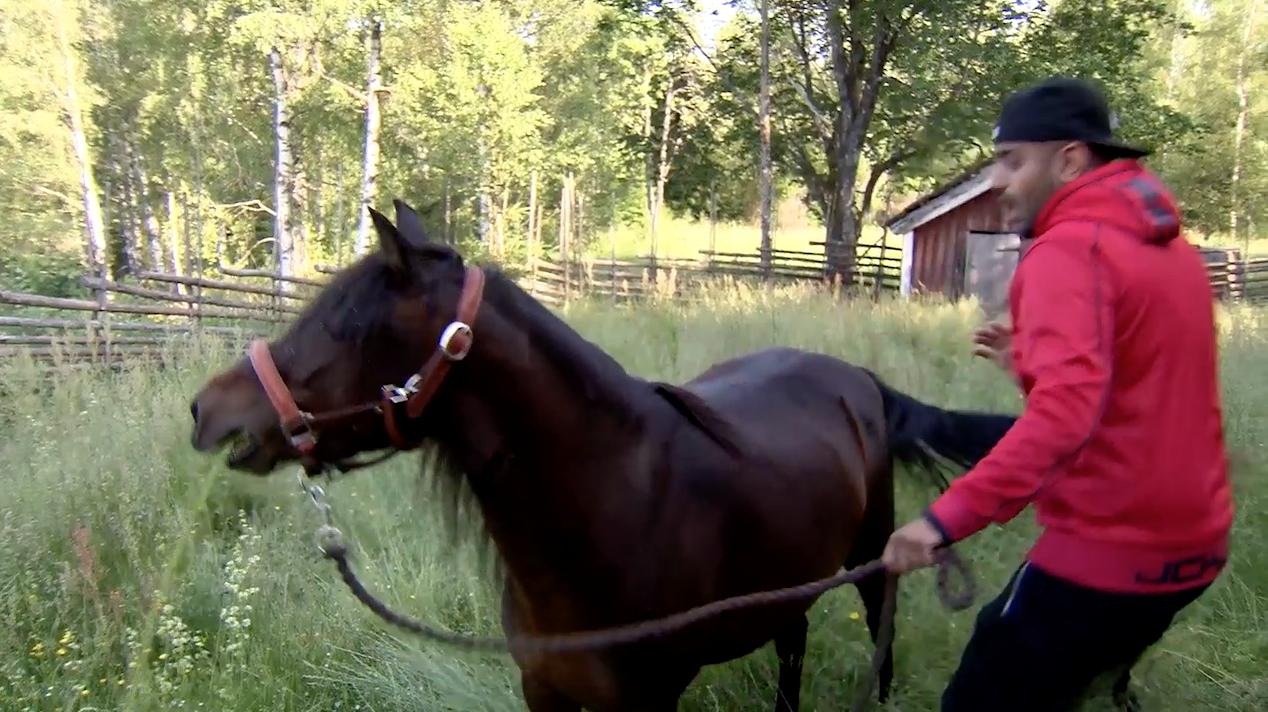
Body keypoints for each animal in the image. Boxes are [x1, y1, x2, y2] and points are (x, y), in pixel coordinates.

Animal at [187, 200, 1014, 709]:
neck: (612, 512)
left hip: (874, 560)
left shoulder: (648, 698)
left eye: (346, 325)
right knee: (793, 643)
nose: (209, 412)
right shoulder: (545, 690)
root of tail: (856, 378)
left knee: (880, 634)